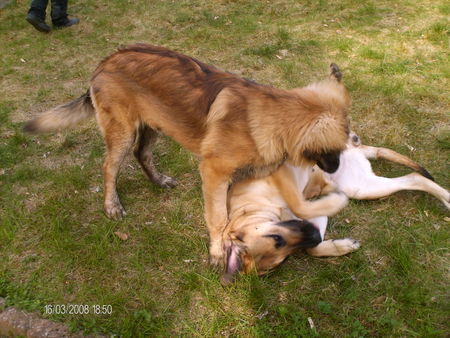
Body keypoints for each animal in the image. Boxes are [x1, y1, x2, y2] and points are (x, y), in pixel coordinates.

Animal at [24, 44, 352, 266]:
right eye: (335, 150)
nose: (335, 170)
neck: (266, 118)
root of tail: (105, 61)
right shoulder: (213, 173)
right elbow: (219, 218)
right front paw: (218, 250)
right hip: (123, 132)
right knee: (109, 166)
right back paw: (112, 205)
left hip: (155, 123)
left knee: (142, 153)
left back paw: (158, 181)